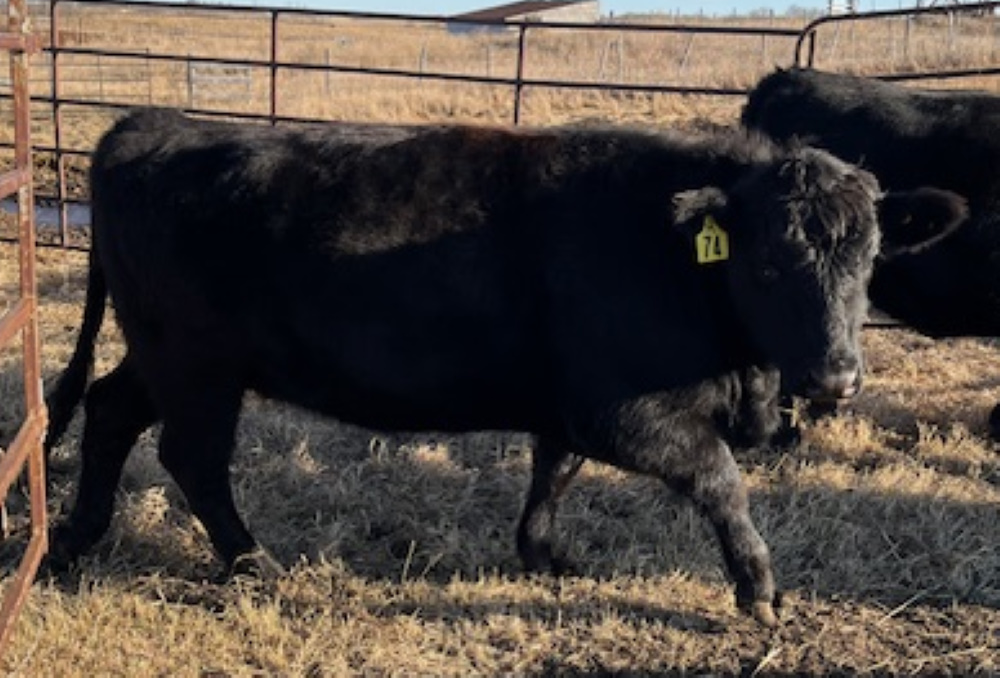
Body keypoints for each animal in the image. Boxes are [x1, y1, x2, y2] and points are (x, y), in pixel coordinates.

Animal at [44, 108, 964, 626]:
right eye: (768, 265)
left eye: (870, 258)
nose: (837, 377)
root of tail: (147, 126)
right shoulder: (626, 410)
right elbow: (720, 481)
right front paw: (759, 590)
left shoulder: (567, 401)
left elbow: (552, 473)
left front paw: (543, 557)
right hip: (197, 363)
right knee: (192, 455)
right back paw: (250, 562)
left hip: (165, 355)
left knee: (110, 411)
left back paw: (73, 541)